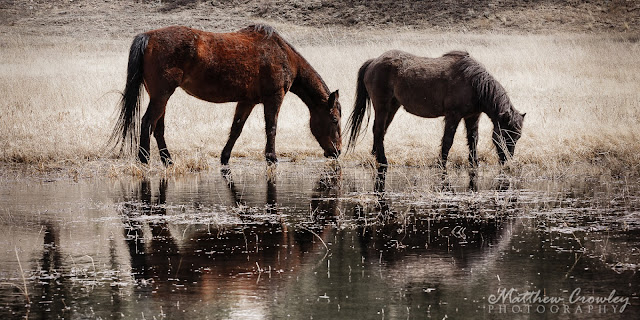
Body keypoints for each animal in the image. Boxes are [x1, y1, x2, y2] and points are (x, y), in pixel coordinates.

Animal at [110, 24, 342, 165]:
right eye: (334, 119)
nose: (337, 151)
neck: (284, 55)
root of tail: (148, 36)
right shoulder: (274, 98)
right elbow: (272, 128)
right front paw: (271, 157)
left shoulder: (247, 101)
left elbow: (236, 129)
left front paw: (225, 157)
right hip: (161, 95)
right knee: (147, 122)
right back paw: (144, 159)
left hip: (160, 96)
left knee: (158, 127)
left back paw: (168, 160)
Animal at [350, 50, 524, 168]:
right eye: (506, 133)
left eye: (517, 136)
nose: (507, 159)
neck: (473, 83)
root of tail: (374, 61)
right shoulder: (453, 116)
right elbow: (448, 140)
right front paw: (442, 162)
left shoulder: (472, 117)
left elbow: (473, 139)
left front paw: (474, 163)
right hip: (382, 106)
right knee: (378, 130)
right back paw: (383, 161)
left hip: (392, 107)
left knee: (380, 130)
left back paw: (375, 155)